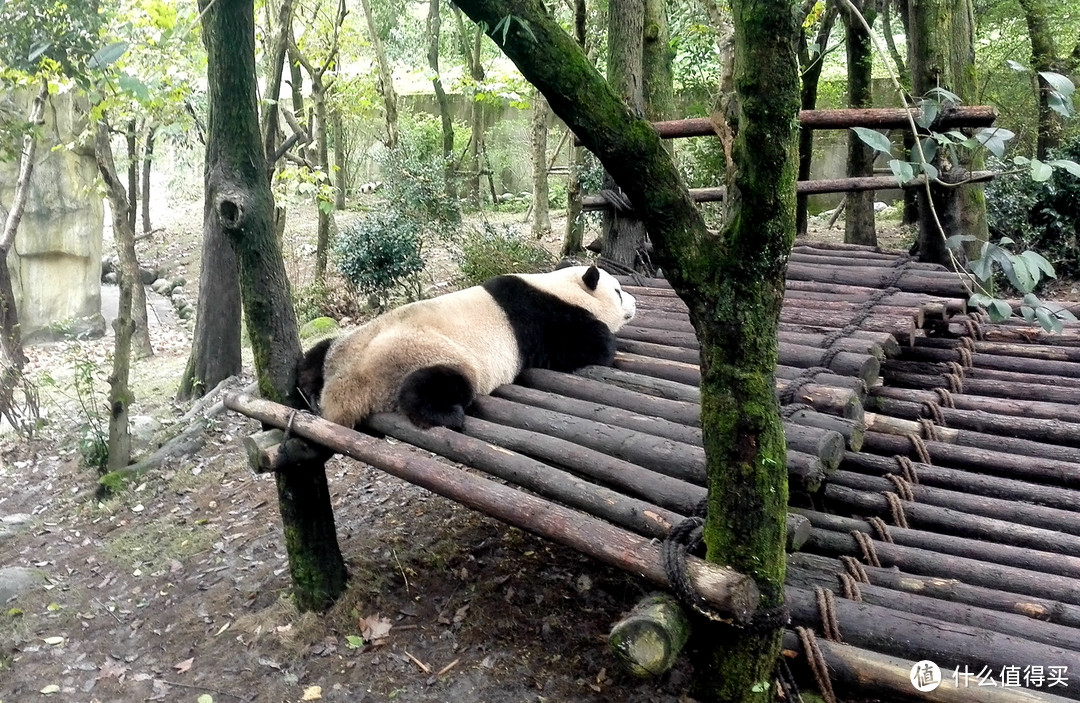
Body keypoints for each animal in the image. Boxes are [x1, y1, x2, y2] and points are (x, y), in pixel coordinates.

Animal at [295, 262, 630, 429]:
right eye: (618, 291)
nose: (635, 304)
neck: (560, 286)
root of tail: (343, 386)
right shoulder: (541, 318)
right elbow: (587, 346)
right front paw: (607, 338)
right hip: (425, 355)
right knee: (438, 383)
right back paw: (444, 414)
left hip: (349, 340)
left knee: (317, 353)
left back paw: (307, 388)